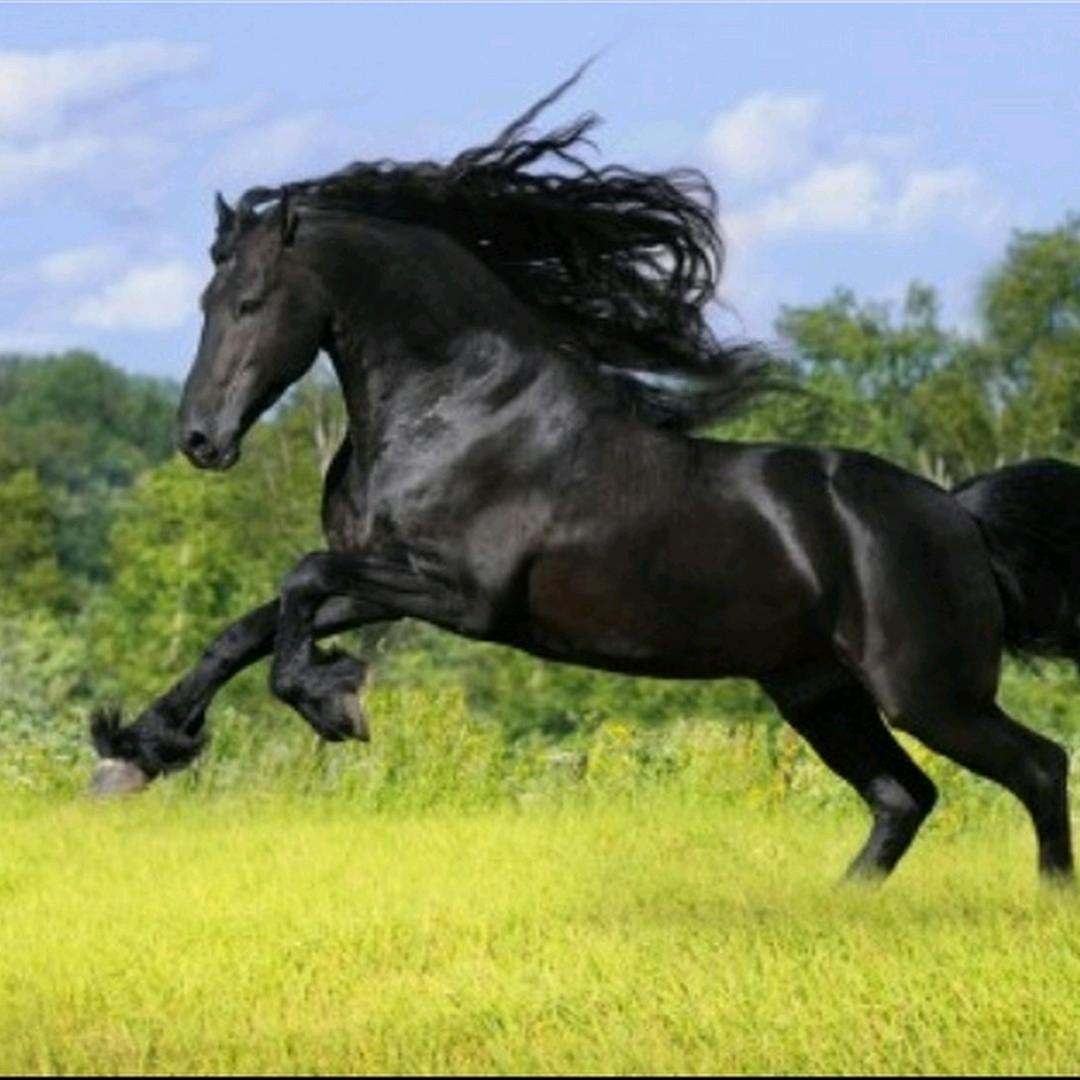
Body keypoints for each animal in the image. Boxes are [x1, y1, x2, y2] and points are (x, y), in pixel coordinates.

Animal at [91, 72, 1080, 885]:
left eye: (250, 302)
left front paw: (334, 705)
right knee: (903, 799)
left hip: (928, 691)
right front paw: (135, 750)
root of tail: (957, 516)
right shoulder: (388, 583)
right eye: (205, 302)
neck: (461, 407)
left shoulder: (462, 595)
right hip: (818, 691)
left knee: (1037, 767)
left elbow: (297, 582)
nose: (199, 439)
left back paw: (1044, 906)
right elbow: (249, 626)